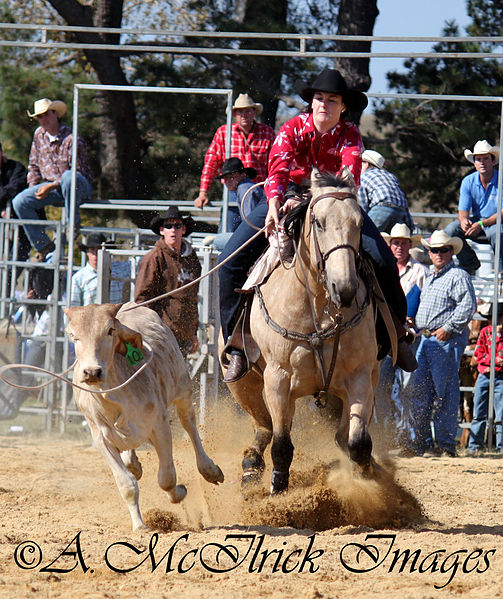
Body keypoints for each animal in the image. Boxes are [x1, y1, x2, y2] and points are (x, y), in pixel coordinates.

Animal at [226, 170, 380, 496]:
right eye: (318, 222)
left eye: (360, 224)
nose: (344, 288)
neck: (317, 309)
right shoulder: (278, 379)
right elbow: (282, 446)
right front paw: (278, 493)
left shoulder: (360, 376)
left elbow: (358, 443)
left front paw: (371, 484)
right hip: (244, 384)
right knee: (264, 427)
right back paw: (250, 468)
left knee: (342, 436)